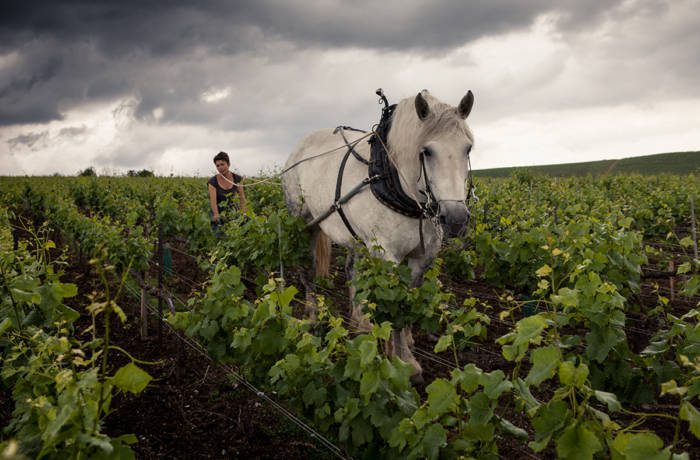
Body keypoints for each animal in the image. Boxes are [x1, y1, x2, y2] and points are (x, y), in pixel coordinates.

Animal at [282, 90, 474, 378]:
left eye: (468, 148)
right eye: (427, 151)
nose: (455, 218)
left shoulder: (423, 256)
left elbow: (410, 299)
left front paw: (406, 341)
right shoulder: (388, 257)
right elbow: (396, 306)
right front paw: (404, 362)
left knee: (351, 270)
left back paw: (360, 321)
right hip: (306, 223)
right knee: (309, 271)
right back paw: (312, 317)